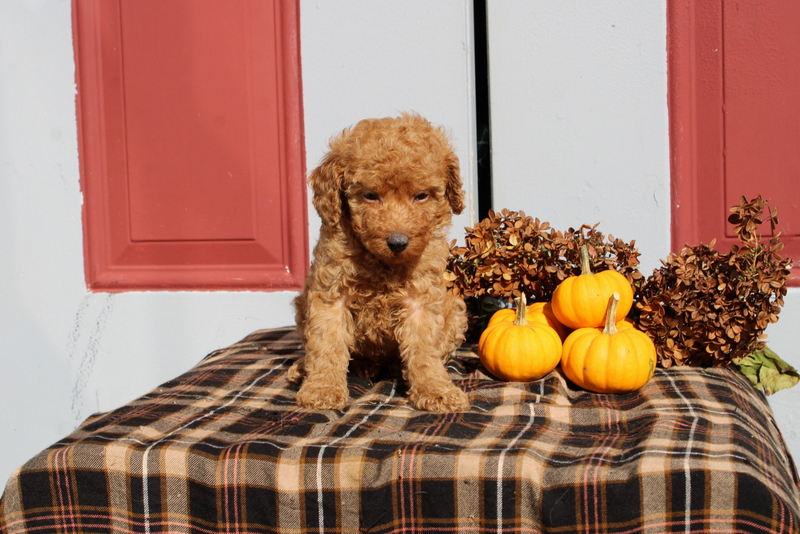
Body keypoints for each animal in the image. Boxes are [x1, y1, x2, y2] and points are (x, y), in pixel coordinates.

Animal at [292, 114, 468, 414]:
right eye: (370, 195)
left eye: (421, 196)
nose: (397, 242)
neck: (382, 263)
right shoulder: (330, 293)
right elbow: (327, 343)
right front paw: (322, 389)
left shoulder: (421, 299)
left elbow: (424, 350)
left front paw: (435, 390)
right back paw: (304, 367)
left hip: (455, 311)